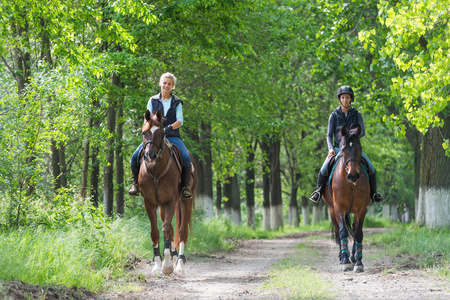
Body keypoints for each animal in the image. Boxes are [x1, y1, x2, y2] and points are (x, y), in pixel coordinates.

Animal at [139, 109, 197, 276]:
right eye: (144, 132)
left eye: (160, 133)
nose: (150, 156)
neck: (156, 172)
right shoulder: (150, 203)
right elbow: (155, 231)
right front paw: (158, 264)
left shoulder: (171, 201)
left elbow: (166, 228)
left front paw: (166, 265)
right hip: (162, 207)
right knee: (171, 229)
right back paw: (174, 257)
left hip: (185, 201)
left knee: (181, 231)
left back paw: (180, 265)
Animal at [322, 124, 370, 272]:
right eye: (343, 149)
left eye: (360, 148)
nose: (353, 175)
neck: (350, 185)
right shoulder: (339, 208)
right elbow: (343, 232)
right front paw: (345, 261)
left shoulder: (361, 210)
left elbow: (358, 233)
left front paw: (358, 262)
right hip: (331, 210)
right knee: (338, 232)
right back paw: (343, 256)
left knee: (354, 230)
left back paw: (353, 256)